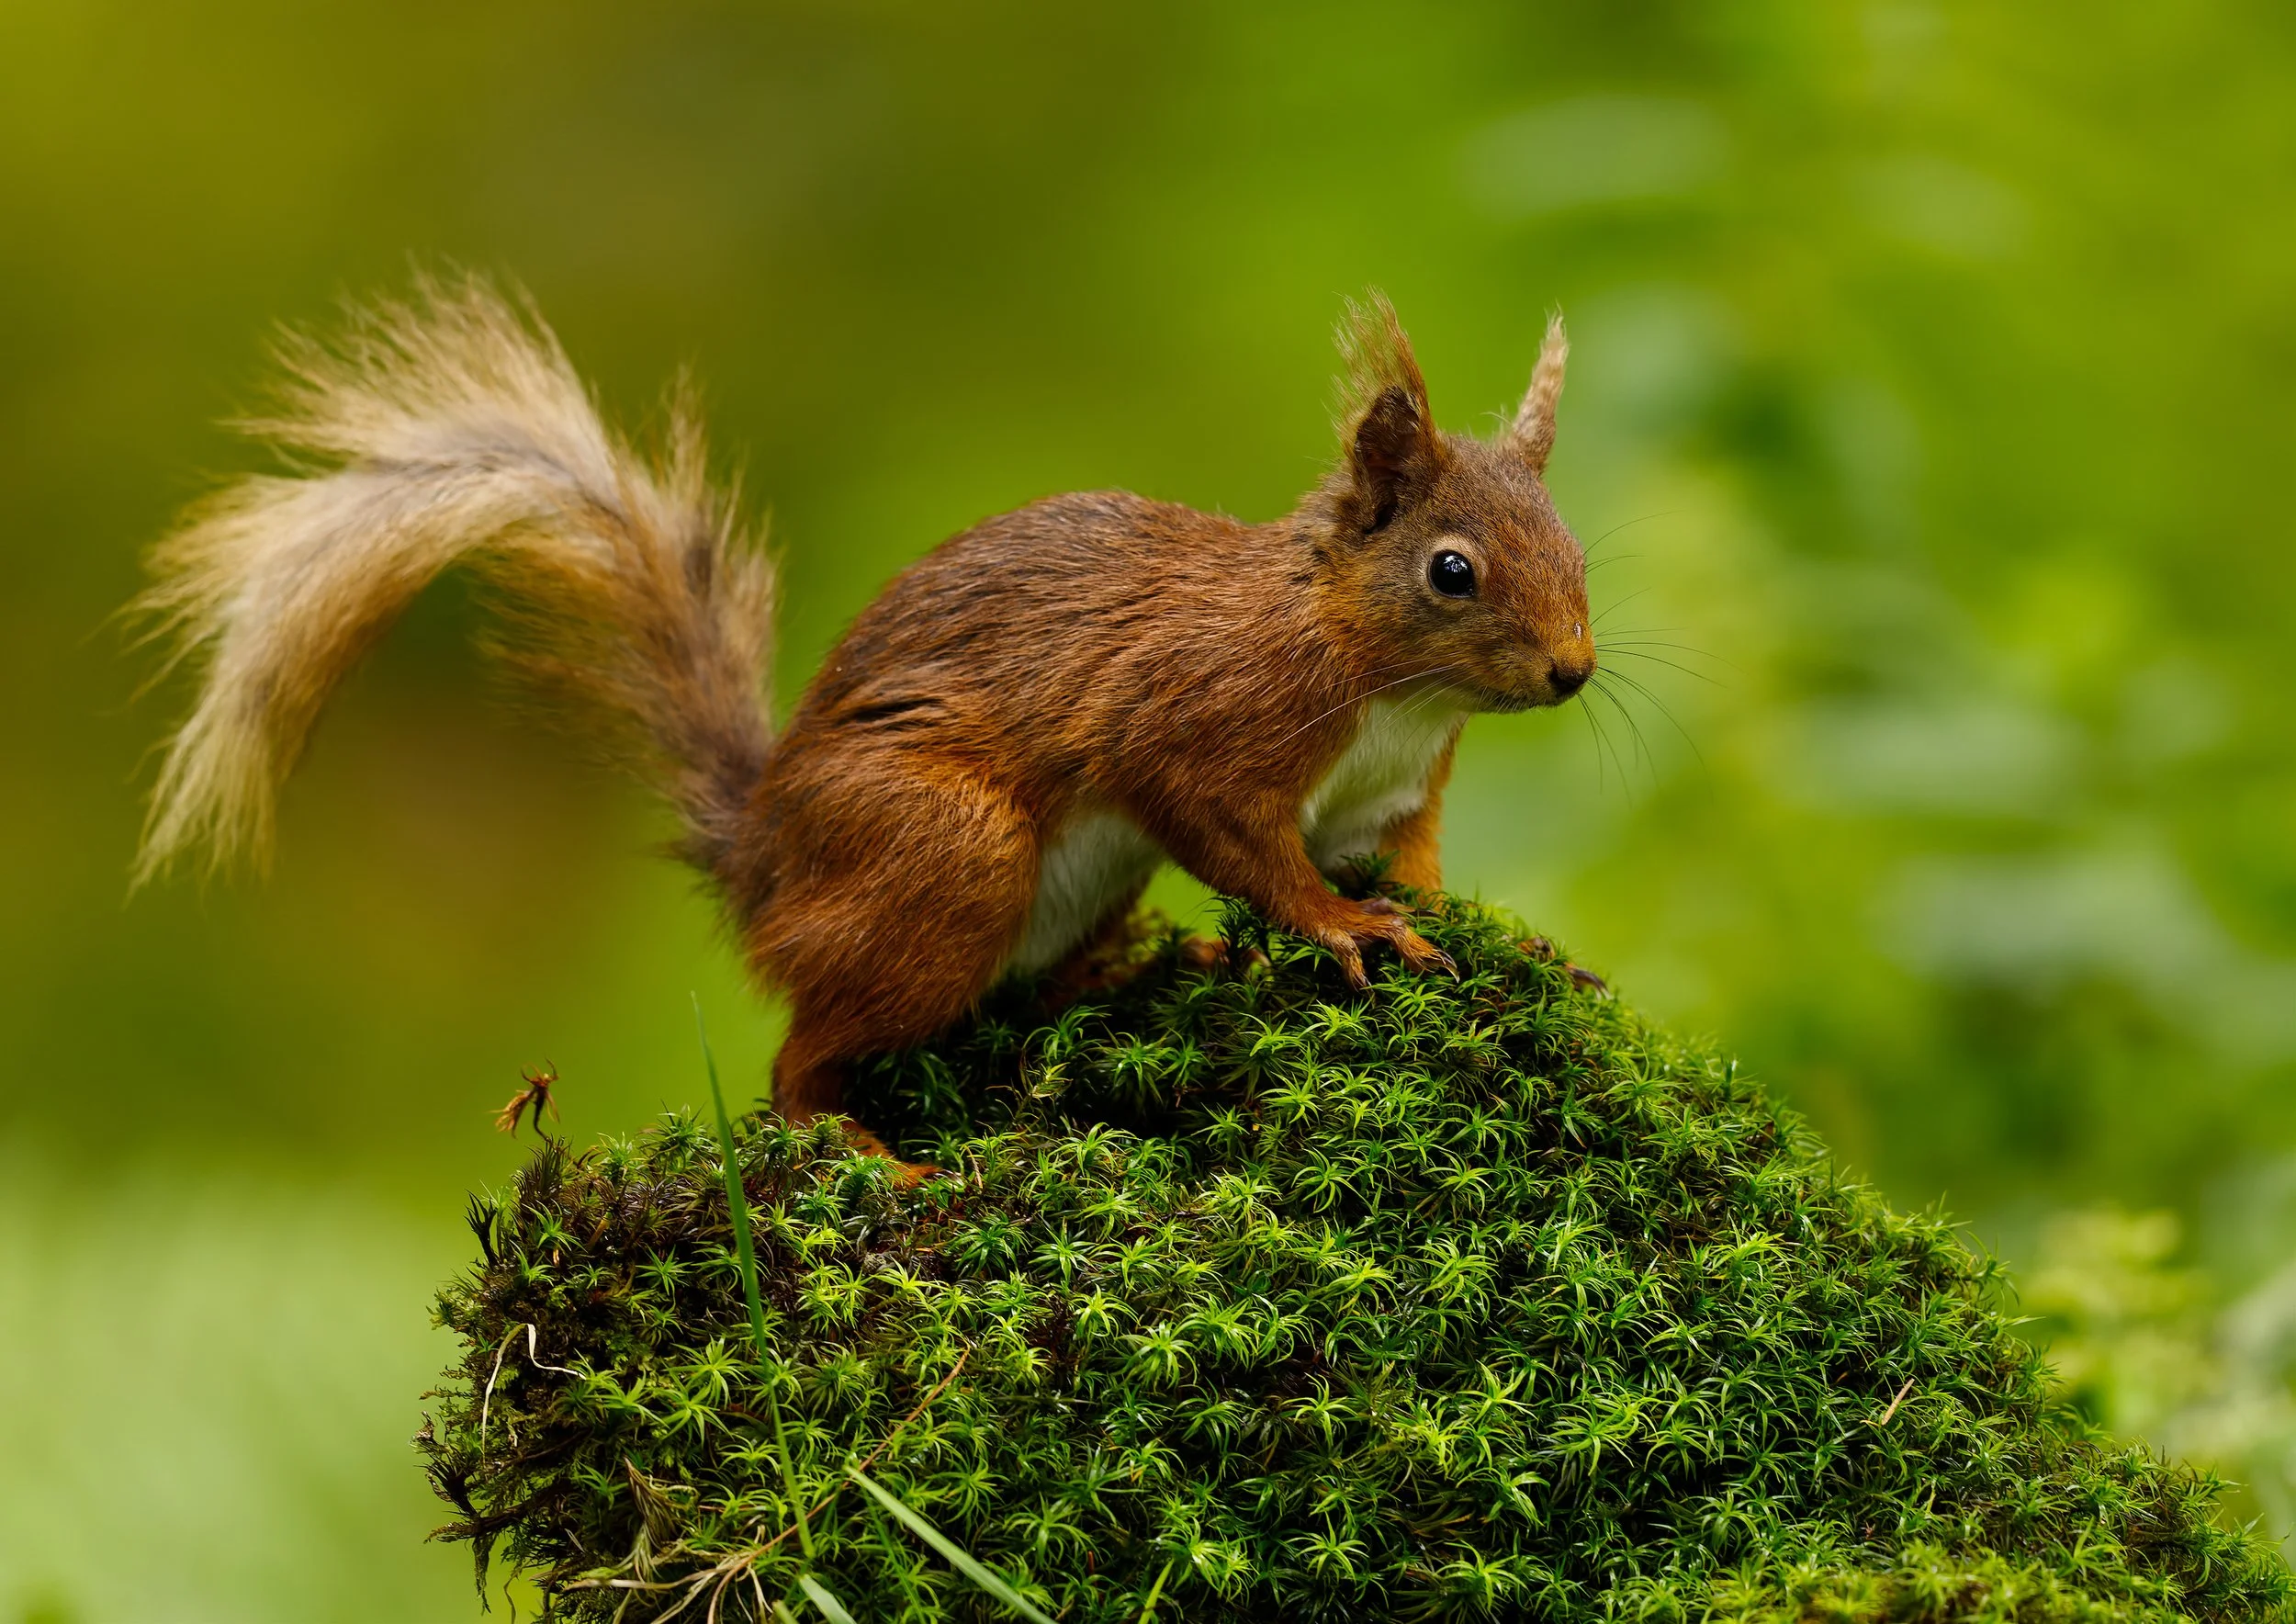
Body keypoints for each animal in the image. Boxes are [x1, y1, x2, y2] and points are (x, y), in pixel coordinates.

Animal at [133, 278, 1593, 1165]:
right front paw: (1345, 927)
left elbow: (1410, 867)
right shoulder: (1201, 723)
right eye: (1451, 571)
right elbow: (1247, 847)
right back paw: (865, 1153)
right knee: (802, 1058)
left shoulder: (1396, 793)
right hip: (941, 849)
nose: (1575, 671)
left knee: (1018, 993)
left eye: (1575, 546)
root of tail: (763, 864)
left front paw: (1496, 938)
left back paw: (1138, 969)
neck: (1383, 684)